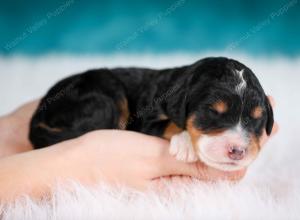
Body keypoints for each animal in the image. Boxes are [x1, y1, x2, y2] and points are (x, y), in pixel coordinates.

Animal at [29, 57, 274, 171]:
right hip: (106, 95)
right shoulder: (145, 120)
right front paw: (186, 144)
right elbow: (171, 124)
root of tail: (39, 112)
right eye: (212, 112)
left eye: (257, 119)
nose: (238, 151)